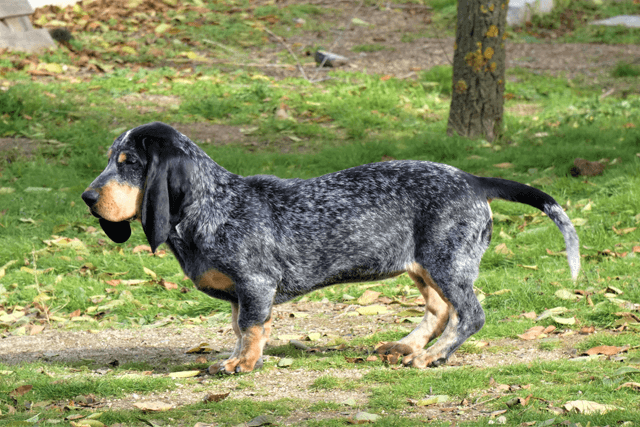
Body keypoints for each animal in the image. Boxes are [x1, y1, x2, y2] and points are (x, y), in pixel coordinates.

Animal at [81, 121, 580, 374]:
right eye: (110, 159)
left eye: (129, 162)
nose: (87, 198)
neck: (212, 203)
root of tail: (474, 180)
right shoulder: (241, 292)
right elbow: (237, 326)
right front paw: (235, 356)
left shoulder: (256, 285)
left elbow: (250, 328)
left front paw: (242, 364)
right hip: (423, 265)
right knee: (440, 310)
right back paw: (407, 345)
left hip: (447, 261)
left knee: (470, 315)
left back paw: (432, 356)